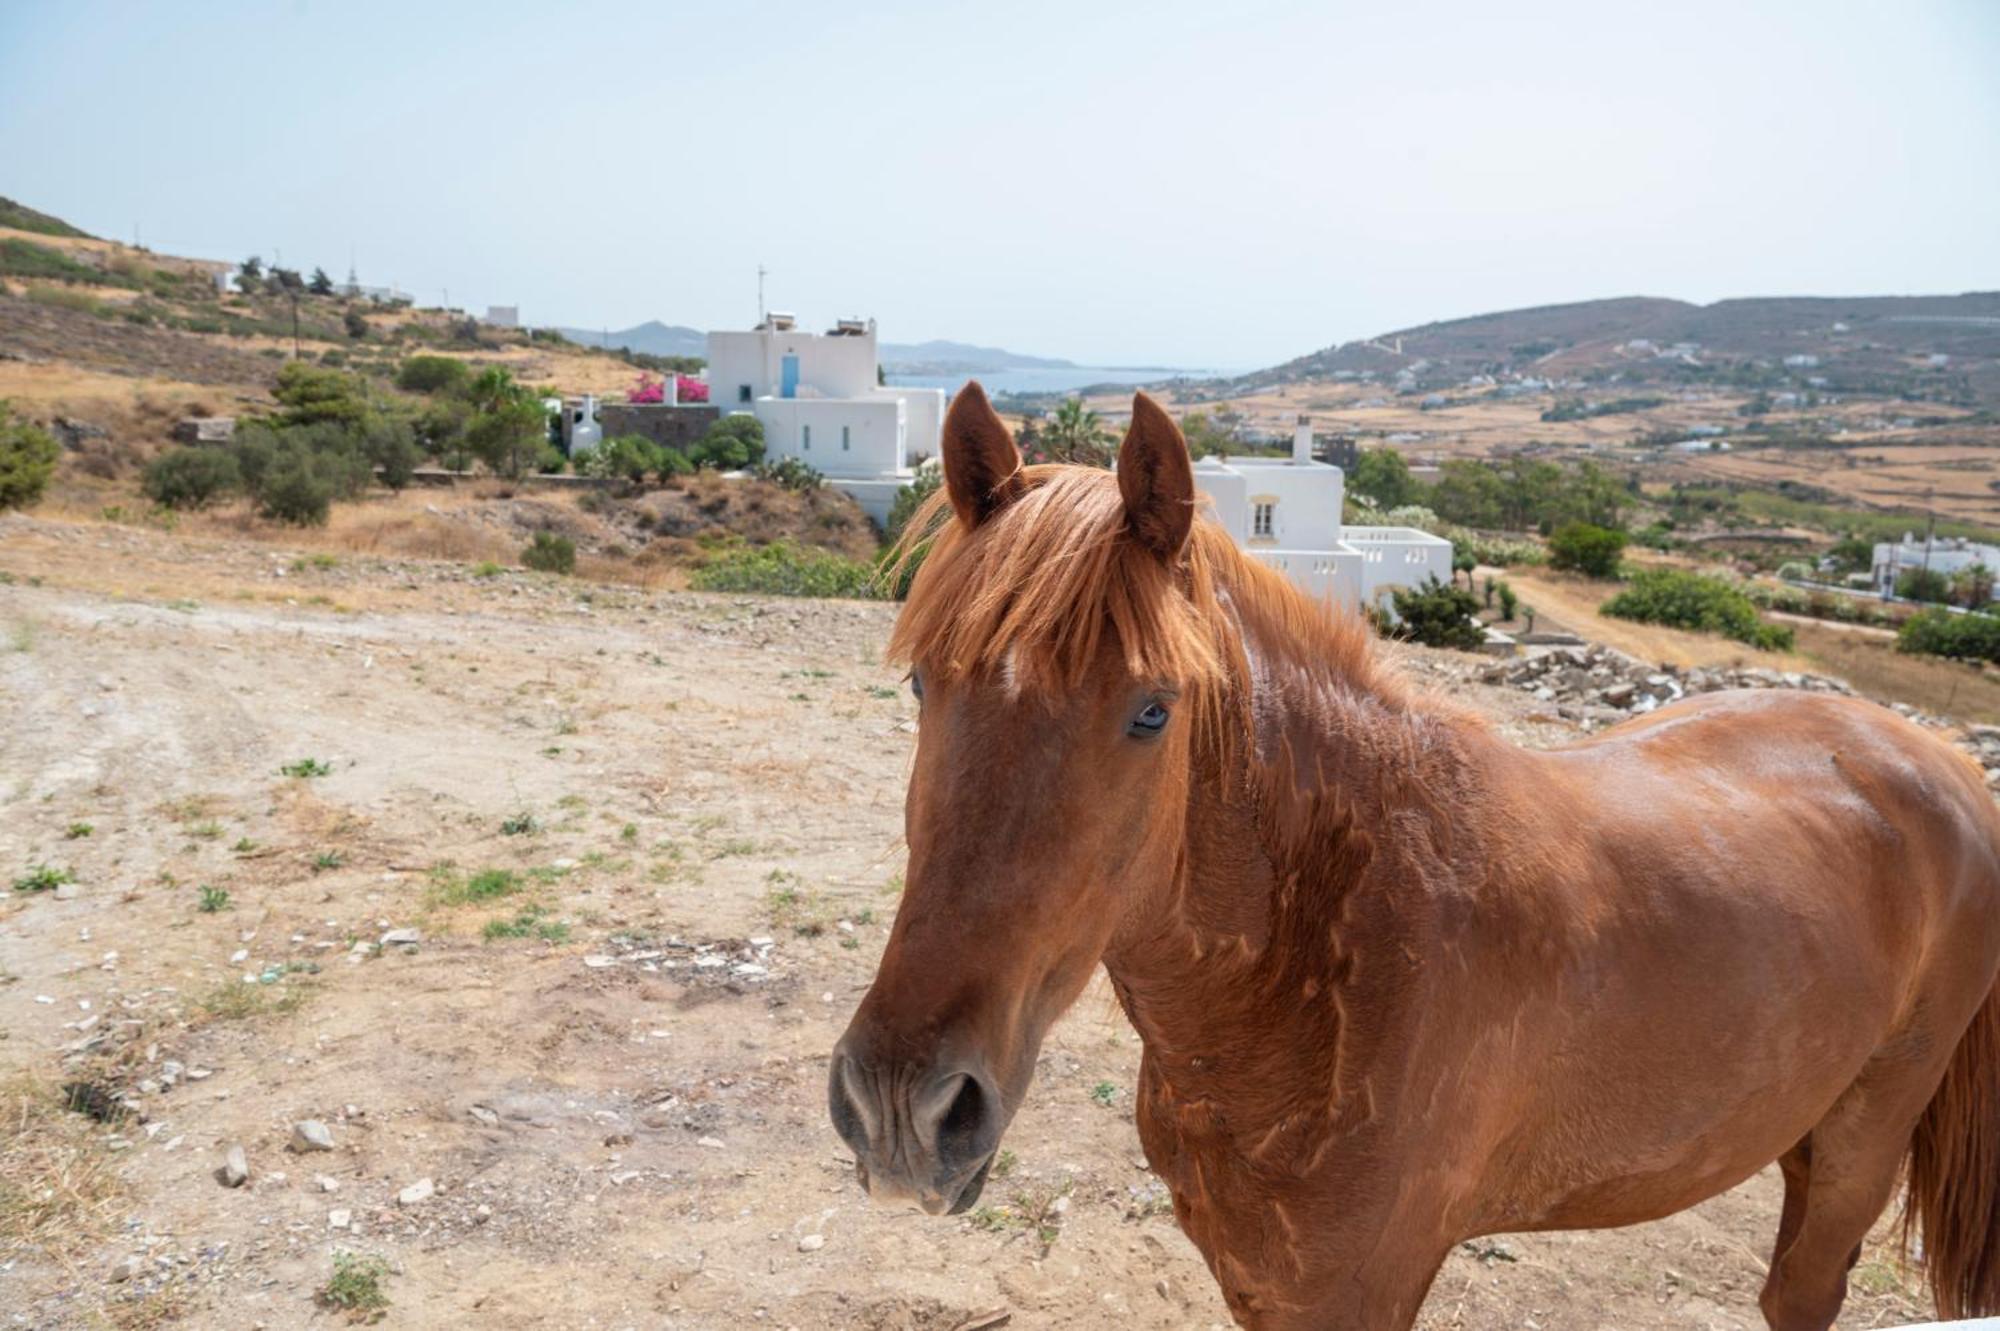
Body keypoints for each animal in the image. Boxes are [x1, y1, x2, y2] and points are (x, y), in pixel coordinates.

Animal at [828, 383, 2000, 1327]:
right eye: (925, 681)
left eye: (1152, 710)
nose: (901, 1109)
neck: (1326, 957)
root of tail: (1944, 762)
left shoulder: (1359, 1286)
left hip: (1864, 1138)